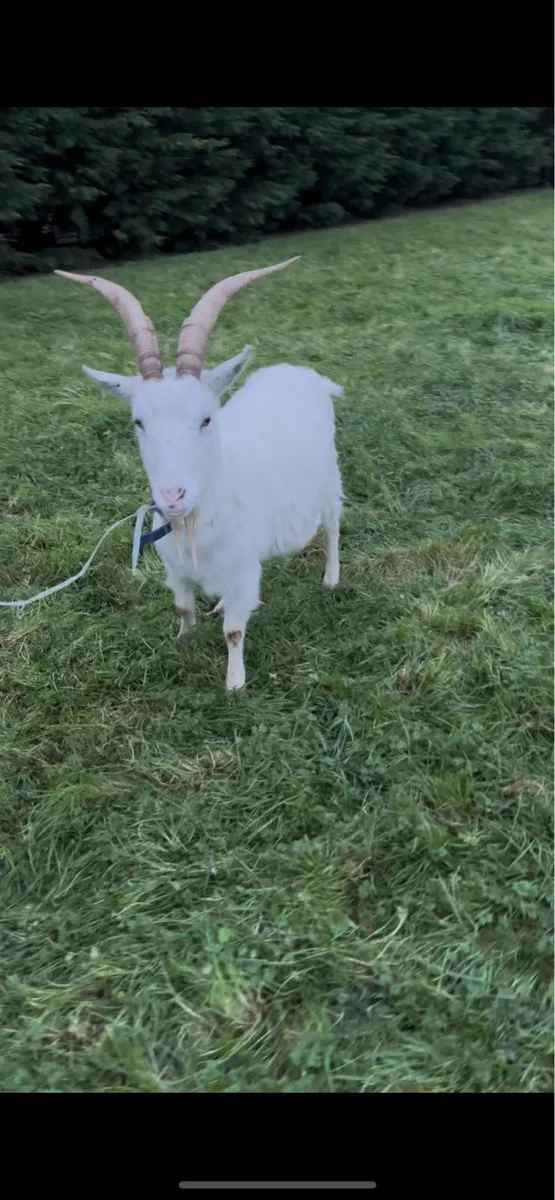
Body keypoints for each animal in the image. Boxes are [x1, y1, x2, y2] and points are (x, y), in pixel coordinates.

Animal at [55, 259, 343, 690]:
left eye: (207, 418)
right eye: (138, 421)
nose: (173, 496)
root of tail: (304, 375)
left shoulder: (243, 570)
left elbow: (234, 632)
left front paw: (234, 683)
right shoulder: (176, 567)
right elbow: (181, 607)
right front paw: (182, 641)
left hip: (329, 480)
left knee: (332, 526)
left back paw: (331, 578)